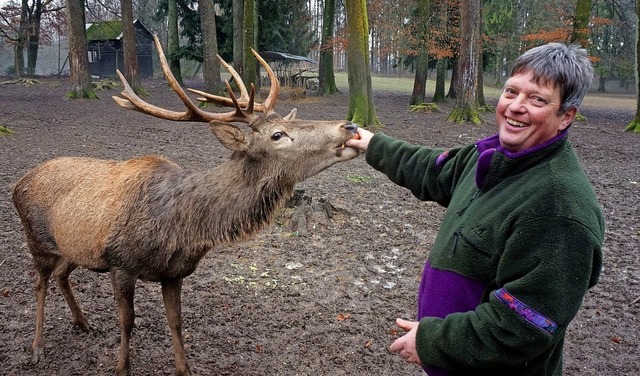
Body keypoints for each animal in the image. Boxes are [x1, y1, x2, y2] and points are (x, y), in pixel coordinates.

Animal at [12, 33, 360, 374]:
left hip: (71, 246)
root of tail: (18, 183)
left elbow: (176, 322)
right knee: (40, 283)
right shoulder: (120, 263)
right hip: (36, 238)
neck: (181, 229)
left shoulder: (174, 273)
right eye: (277, 135)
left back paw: (83, 323)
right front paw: (121, 366)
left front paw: (184, 367)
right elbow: (127, 322)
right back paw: (37, 348)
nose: (350, 126)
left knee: (62, 274)